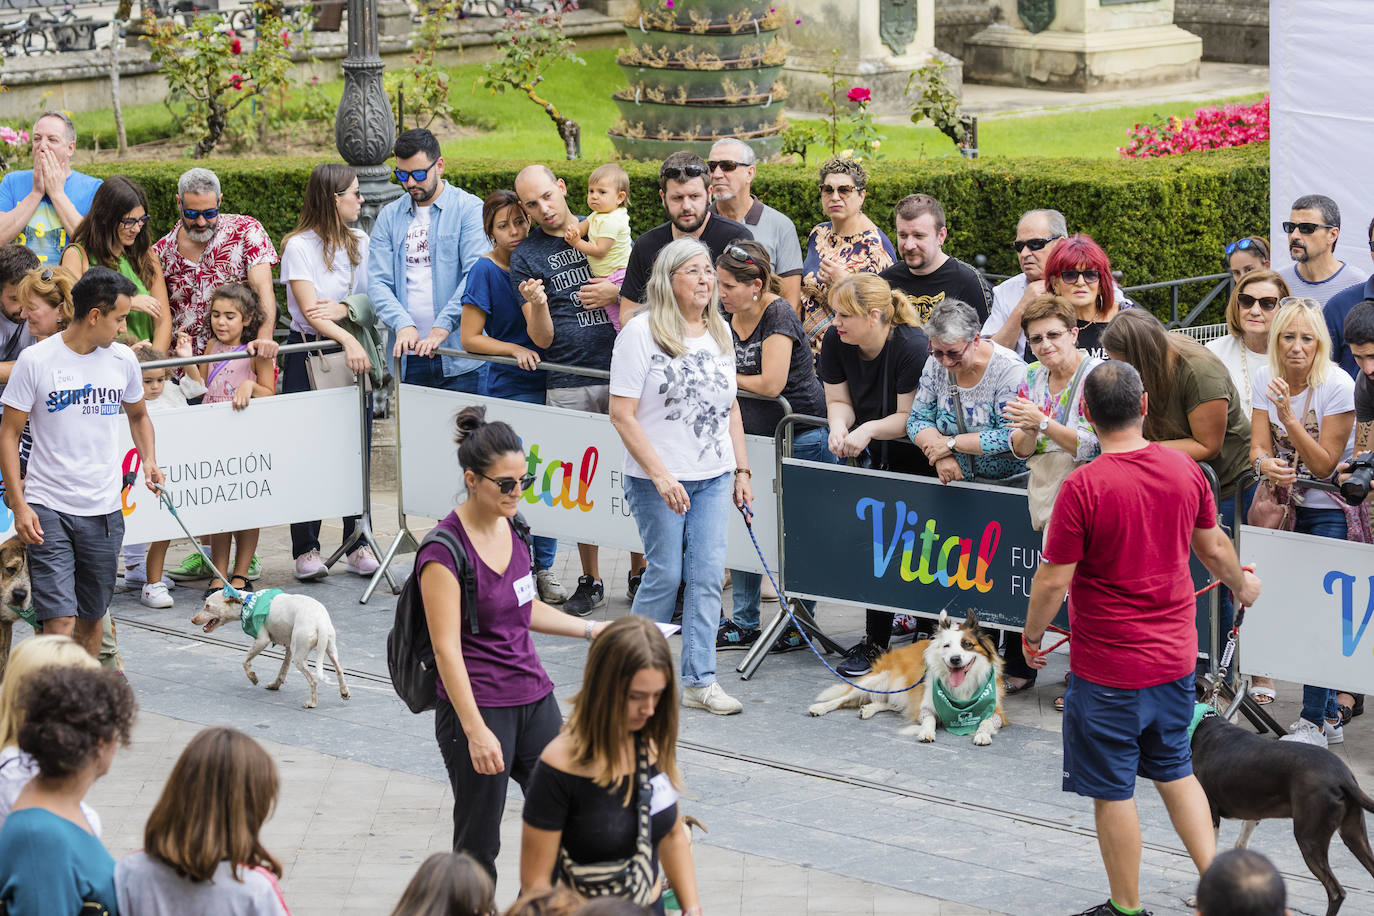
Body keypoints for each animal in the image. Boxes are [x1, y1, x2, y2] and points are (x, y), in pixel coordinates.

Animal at [193, 587, 348, 708]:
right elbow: (282, 670)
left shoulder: (262, 640)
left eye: (208, 606)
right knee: (339, 670)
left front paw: (253, 677)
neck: (245, 604)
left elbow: (244, 660)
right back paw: (344, 692)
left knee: (314, 680)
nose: (192, 620)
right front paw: (275, 685)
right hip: (329, 650)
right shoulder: (289, 648)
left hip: (299, 658)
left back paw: (312, 703)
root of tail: (319, 621)